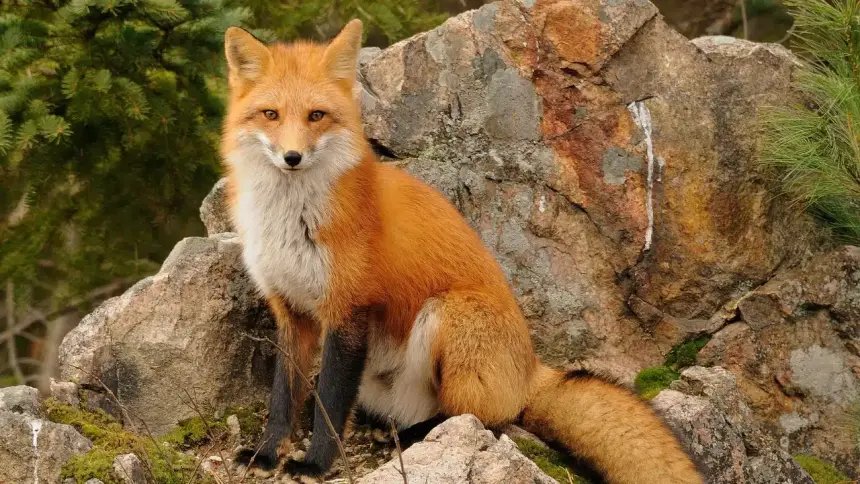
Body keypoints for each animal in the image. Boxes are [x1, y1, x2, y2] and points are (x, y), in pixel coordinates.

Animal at [220, 19, 703, 484]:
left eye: (316, 115)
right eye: (271, 114)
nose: (292, 157)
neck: (291, 221)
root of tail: (531, 367)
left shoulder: (348, 309)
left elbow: (331, 405)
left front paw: (317, 464)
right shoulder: (290, 310)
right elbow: (283, 397)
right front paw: (266, 454)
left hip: (449, 315)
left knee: (478, 418)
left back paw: (415, 436)